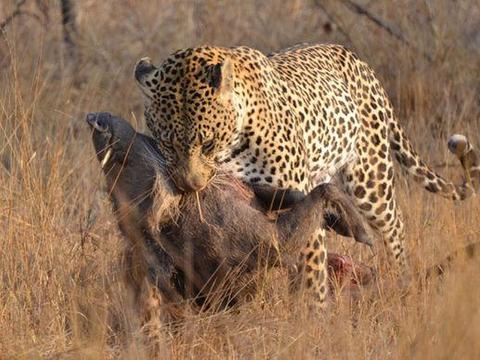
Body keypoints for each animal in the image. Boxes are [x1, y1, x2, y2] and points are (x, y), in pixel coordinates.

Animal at [133, 43, 478, 306]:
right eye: (166, 143)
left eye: (207, 143)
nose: (190, 185)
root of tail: (357, 59)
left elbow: (310, 268)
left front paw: (312, 315)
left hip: (371, 180)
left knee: (394, 228)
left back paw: (402, 281)